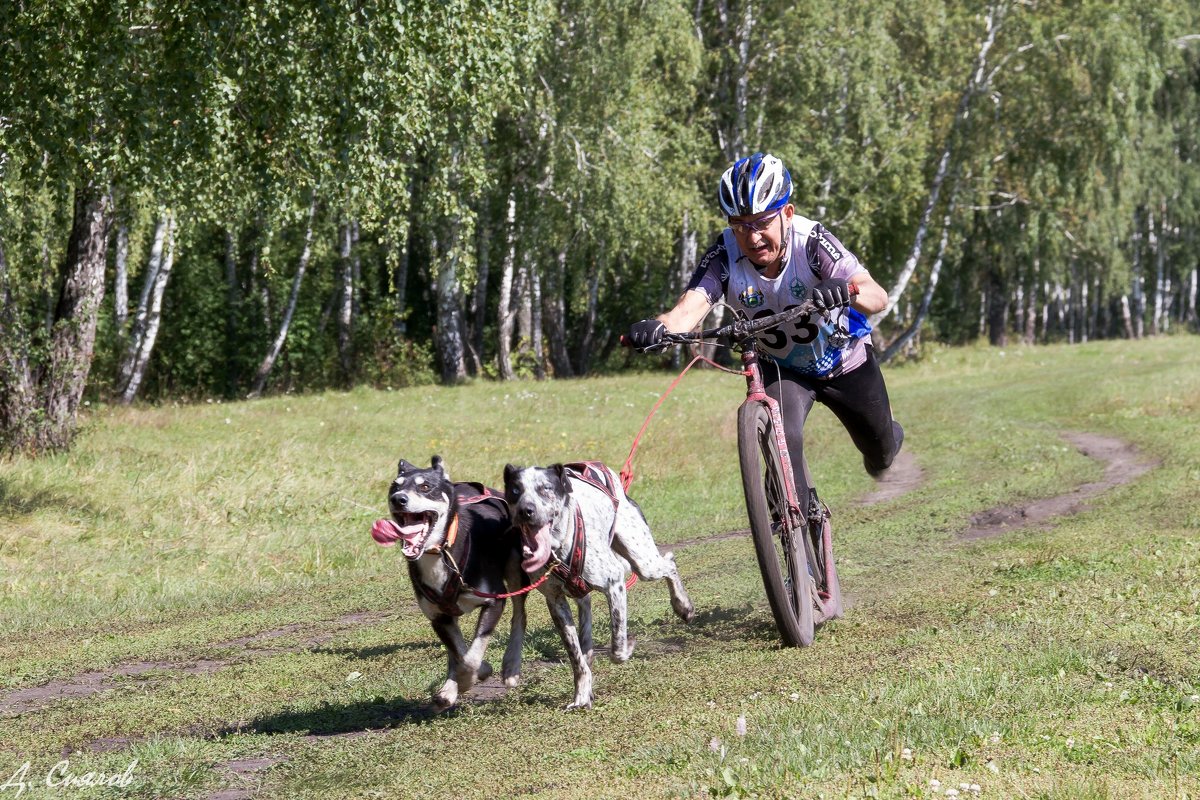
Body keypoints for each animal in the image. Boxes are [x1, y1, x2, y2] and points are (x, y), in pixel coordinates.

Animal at [372, 453, 528, 710]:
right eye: (395, 486)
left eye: (425, 487)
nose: (398, 499)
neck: (440, 553)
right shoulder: (438, 617)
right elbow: (460, 653)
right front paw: (453, 686)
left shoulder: (494, 601)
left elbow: (471, 657)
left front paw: (470, 678)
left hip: (515, 568)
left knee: (519, 615)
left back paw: (511, 665)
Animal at [504, 460, 696, 710]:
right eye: (515, 490)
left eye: (545, 488)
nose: (525, 511)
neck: (559, 547)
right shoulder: (555, 601)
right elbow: (576, 657)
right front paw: (581, 694)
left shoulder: (614, 583)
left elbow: (617, 647)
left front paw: (626, 647)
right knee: (579, 619)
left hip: (644, 562)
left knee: (669, 562)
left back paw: (683, 605)